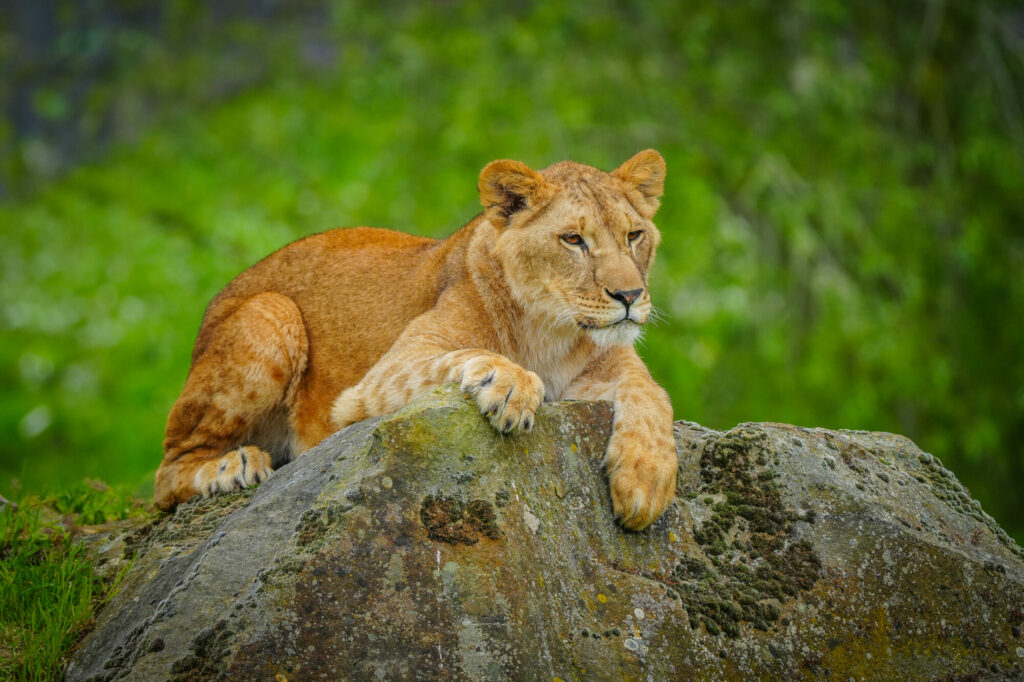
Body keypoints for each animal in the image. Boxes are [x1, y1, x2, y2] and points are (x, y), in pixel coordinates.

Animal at [155, 150, 678, 530]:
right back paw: (234, 466)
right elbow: (471, 353)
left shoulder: (608, 364)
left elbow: (654, 393)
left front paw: (646, 480)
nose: (630, 296)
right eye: (573, 240)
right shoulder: (373, 384)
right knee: (167, 473)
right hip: (271, 311)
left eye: (634, 235)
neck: (554, 332)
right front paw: (512, 386)